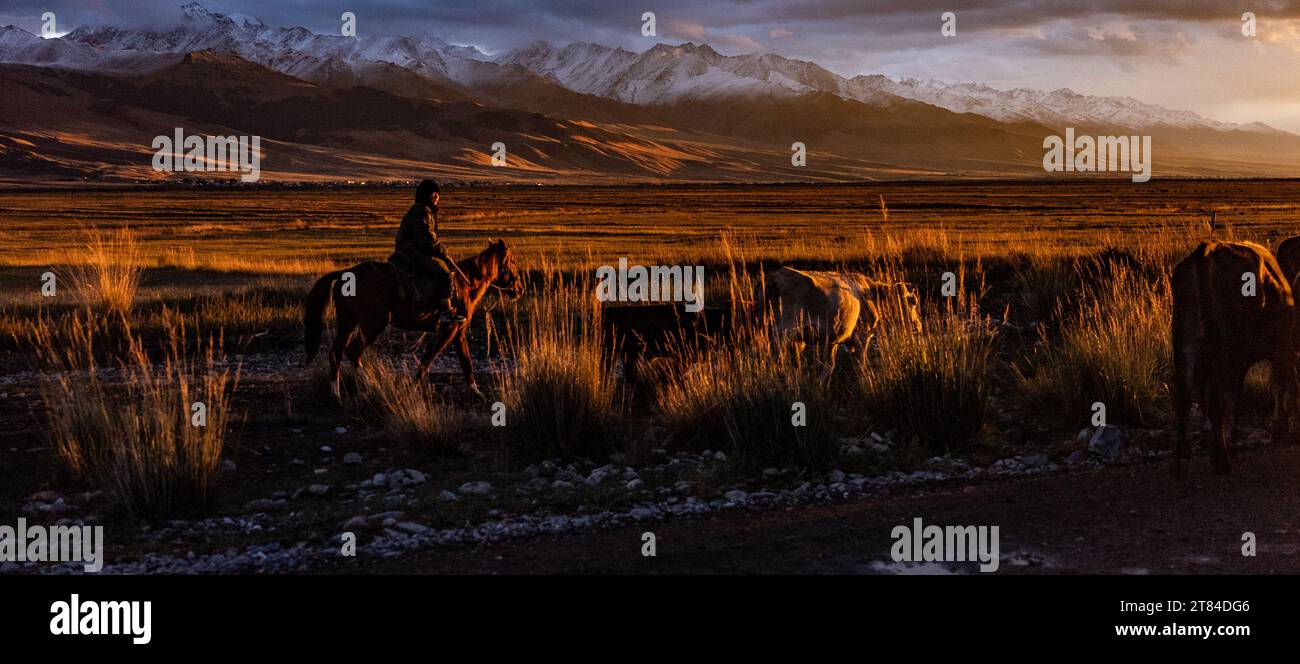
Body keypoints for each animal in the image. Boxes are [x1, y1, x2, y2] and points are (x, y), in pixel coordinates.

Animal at [304, 237, 522, 397]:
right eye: (512, 261)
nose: (519, 288)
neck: (466, 284)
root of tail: (345, 273)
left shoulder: (457, 332)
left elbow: (465, 360)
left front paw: (476, 391)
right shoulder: (448, 329)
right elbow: (428, 360)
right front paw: (414, 386)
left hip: (347, 323)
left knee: (336, 353)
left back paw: (336, 394)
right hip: (373, 324)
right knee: (353, 351)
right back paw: (369, 384)